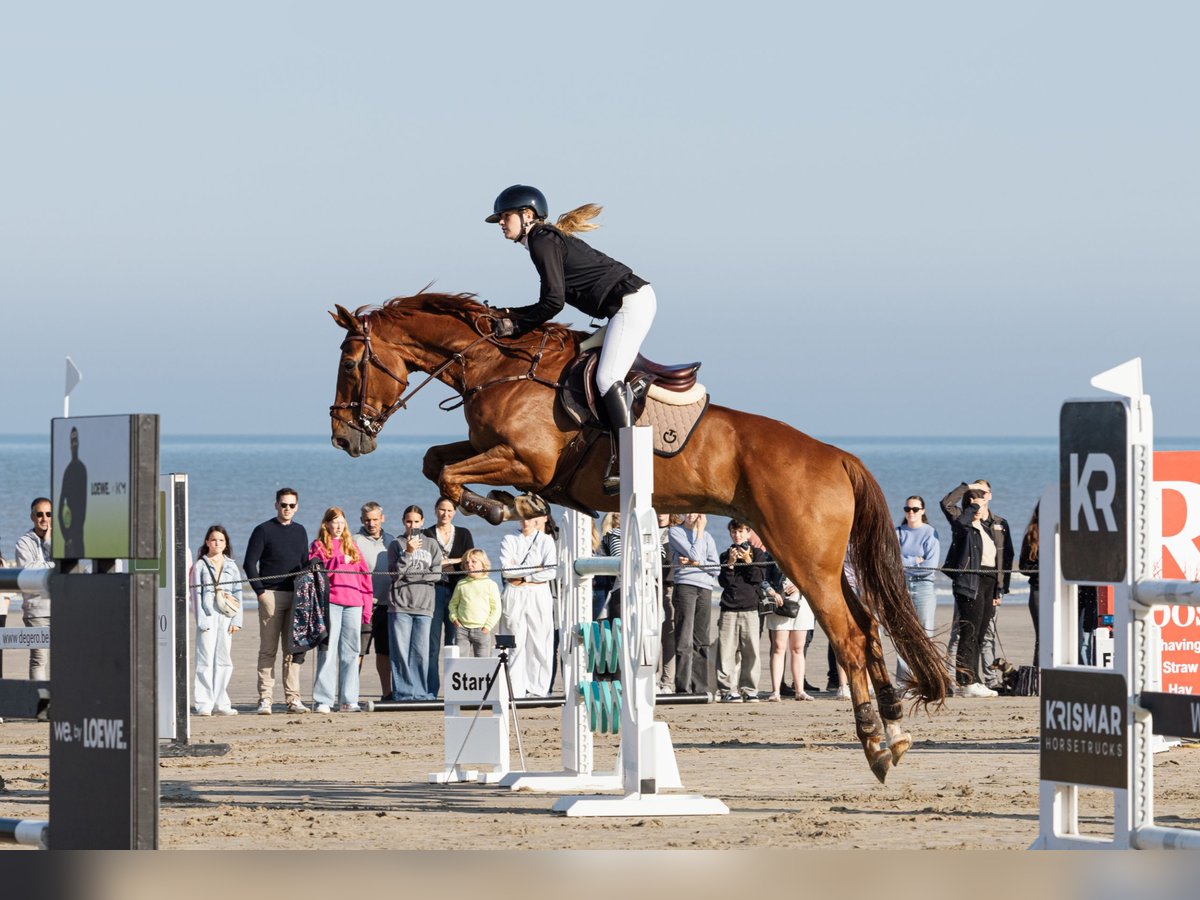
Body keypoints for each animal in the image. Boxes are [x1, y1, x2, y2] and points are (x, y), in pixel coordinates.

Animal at [328, 294, 945, 782]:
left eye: (352, 364)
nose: (344, 438)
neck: (495, 365)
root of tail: (837, 457)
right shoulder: (493, 450)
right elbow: (437, 461)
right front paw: (511, 504)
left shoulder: (527, 460)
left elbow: (452, 475)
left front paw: (503, 505)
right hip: (816, 560)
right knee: (868, 628)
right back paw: (894, 729)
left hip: (803, 559)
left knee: (849, 635)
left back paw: (875, 745)